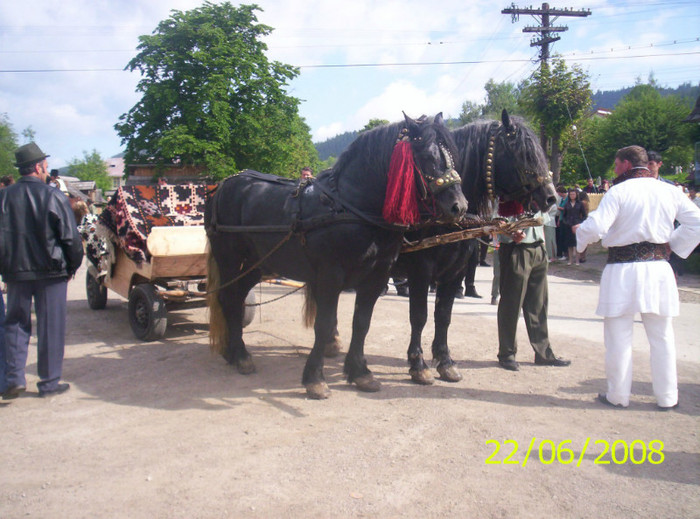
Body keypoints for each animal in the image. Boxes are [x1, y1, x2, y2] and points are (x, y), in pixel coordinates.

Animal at [208, 114, 470, 398]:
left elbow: (362, 322)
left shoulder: (377, 277)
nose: (459, 206)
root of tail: (223, 184)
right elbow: (323, 325)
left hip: (258, 263)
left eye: (453, 156)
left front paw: (360, 373)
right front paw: (315, 378)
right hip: (229, 258)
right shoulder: (331, 276)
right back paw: (240, 355)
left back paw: (233, 351)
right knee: (228, 297)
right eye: (427, 156)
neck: (352, 206)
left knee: (236, 298)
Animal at [392, 109, 556, 384]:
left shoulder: (454, 272)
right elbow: (419, 316)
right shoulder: (420, 271)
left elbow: (443, 315)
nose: (551, 197)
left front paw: (445, 361)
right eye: (523, 153)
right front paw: (418, 364)